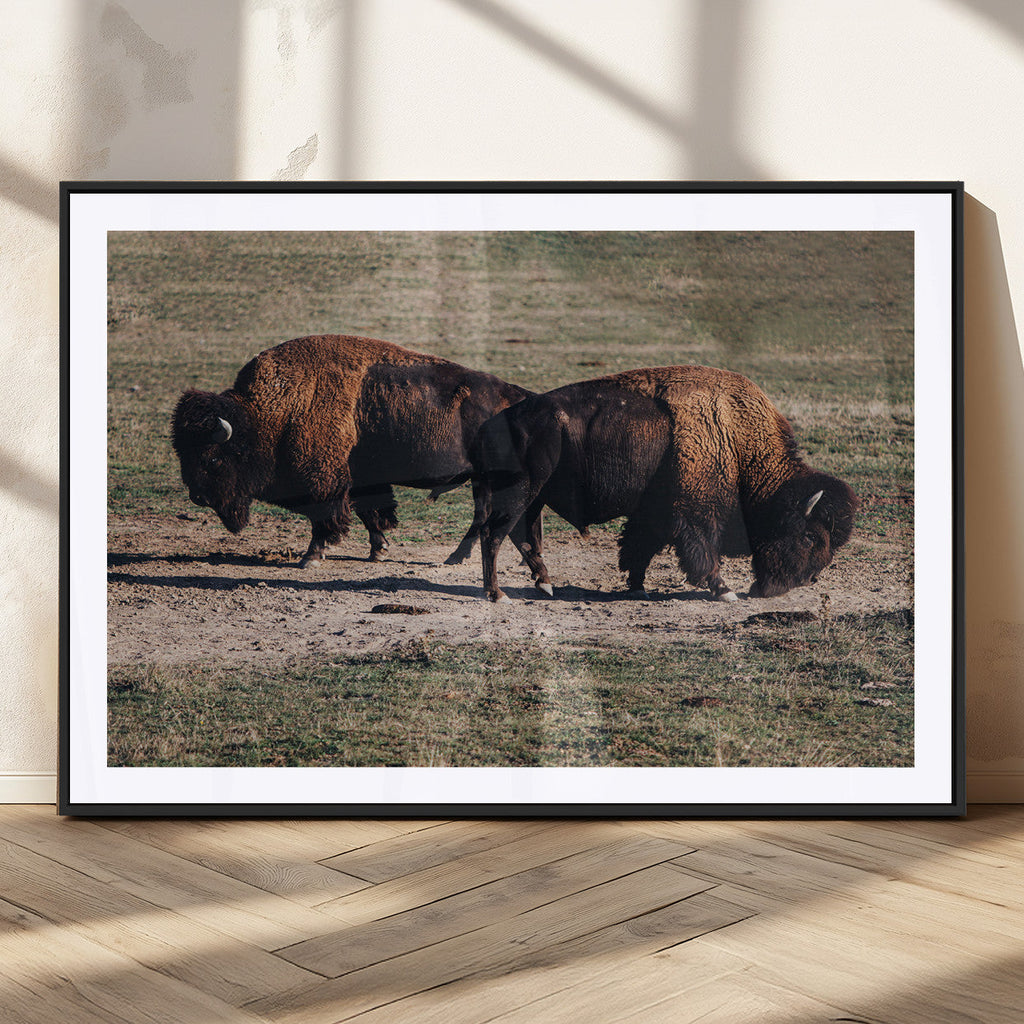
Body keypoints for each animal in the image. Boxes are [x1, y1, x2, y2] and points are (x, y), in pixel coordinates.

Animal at [171, 334, 530, 566]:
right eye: (181, 453)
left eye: (213, 458)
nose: (198, 497)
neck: (272, 413)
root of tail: (518, 396)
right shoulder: (358, 478)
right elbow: (370, 512)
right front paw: (378, 551)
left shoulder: (323, 481)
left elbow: (325, 516)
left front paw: (311, 557)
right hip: (482, 479)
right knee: (484, 515)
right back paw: (457, 557)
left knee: (484, 515)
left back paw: (455, 558)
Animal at [465, 365, 858, 602]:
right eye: (809, 536)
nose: (805, 580)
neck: (735, 439)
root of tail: (491, 423)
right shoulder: (696, 513)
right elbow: (704, 552)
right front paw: (724, 590)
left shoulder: (655, 513)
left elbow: (639, 546)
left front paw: (637, 588)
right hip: (520, 492)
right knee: (493, 535)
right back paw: (497, 594)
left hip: (534, 497)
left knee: (522, 536)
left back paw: (544, 585)